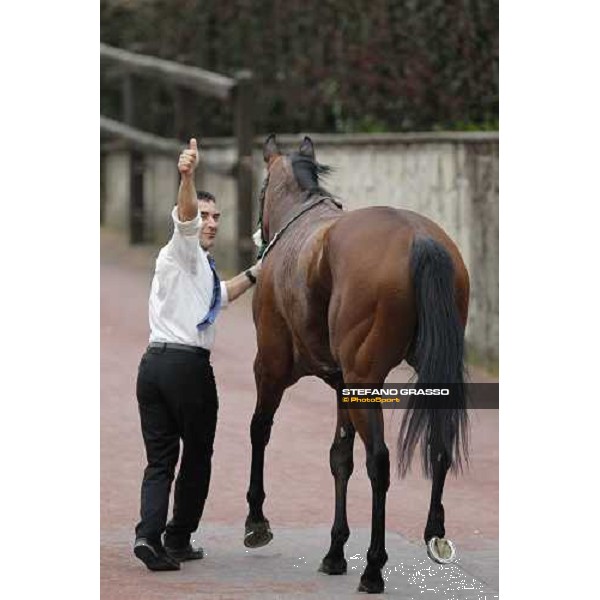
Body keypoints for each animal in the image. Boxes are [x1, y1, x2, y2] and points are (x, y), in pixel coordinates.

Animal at [243, 134, 468, 592]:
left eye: (260, 191)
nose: (256, 236)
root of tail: (419, 237)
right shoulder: (341, 383)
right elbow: (339, 458)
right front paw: (334, 550)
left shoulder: (271, 366)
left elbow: (260, 430)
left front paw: (256, 520)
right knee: (438, 445)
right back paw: (433, 534)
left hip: (362, 380)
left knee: (379, 461)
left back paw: (374, 567)